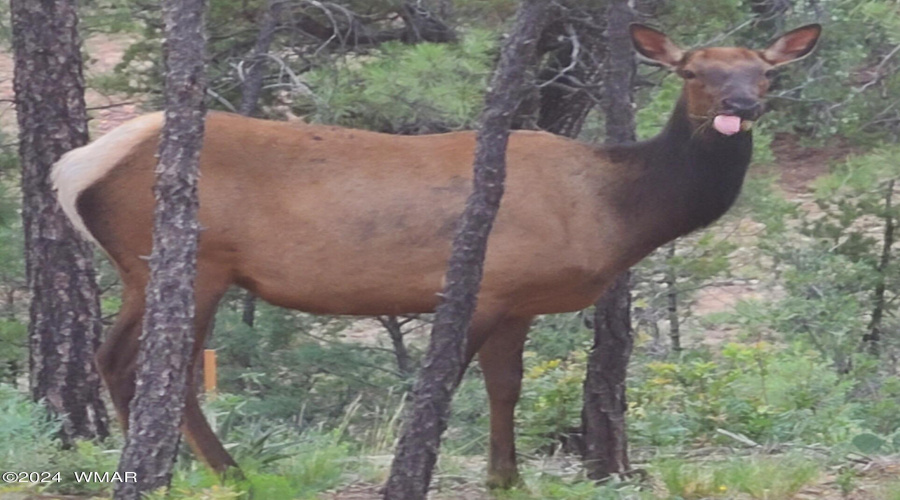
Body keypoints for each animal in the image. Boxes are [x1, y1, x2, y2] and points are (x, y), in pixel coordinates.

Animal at [51, 24, 824, 488]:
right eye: (692, 72)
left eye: (765, 72)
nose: (740, 106)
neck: (613, 208)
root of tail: (75, 169)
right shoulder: (487, 284)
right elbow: (446, 385)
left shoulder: (519, 300)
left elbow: (506, 387)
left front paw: (507, 479)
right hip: (188, 261)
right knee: (146, 363)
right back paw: (209, 472)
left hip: (161, 268)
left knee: (134, 362)